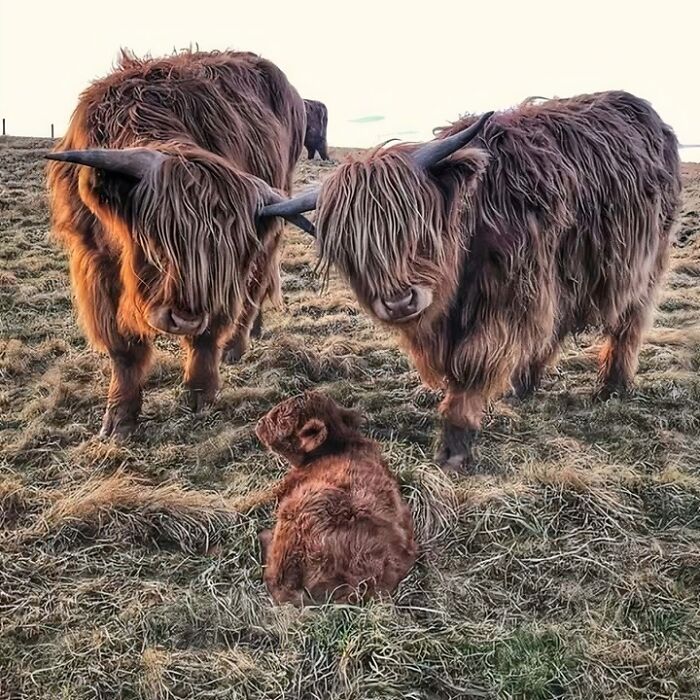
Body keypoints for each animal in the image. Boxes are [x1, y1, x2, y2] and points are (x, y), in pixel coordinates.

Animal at [47, 52, 310, 438]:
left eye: (220, 257)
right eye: (154, 241)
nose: (184, 318)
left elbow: (208, 335)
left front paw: (200, 393)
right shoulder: (94, 263)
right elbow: (123, 349)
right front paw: (119, 419)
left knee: (254, 288)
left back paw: (237, 344)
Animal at [264, 89, 684, 470]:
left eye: (419, 228)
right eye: (351, 250)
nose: (400, 302)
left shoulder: (506, 299)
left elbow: (472, 367)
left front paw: (454, 446)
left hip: (644, 265)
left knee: (628, 324)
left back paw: (612, 386)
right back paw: (523, 385)